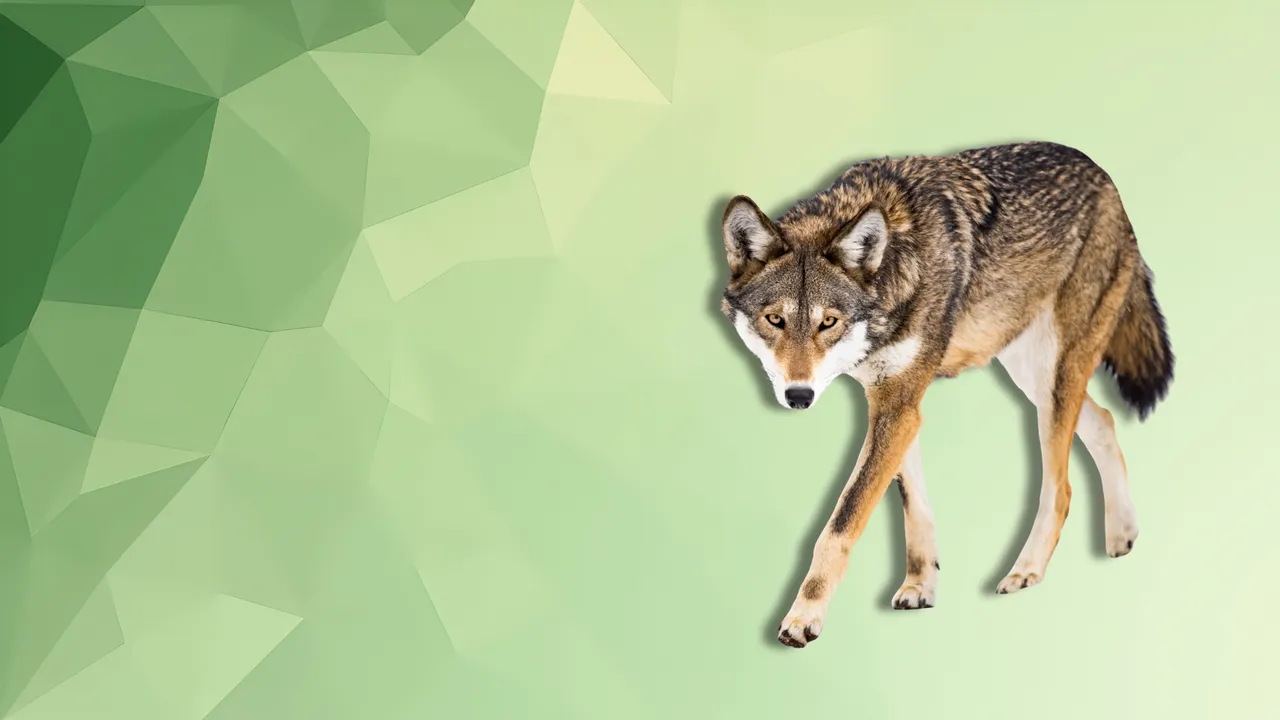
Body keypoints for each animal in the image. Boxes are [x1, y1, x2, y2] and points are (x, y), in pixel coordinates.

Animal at [718, 141, 1173, 648]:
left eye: (828, 322)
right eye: (775, 320)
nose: (799, 395)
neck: (896, 261)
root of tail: (1103, 173)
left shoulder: (898, 404)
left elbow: (841, 523)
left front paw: (803, 617)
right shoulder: (896, 402)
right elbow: (914, 508)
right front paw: (921, 585)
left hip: (1055, 378)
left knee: (1061, 488)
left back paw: (1027, 571)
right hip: (1034, 376)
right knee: (1104, 420)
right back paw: (1122, 535)